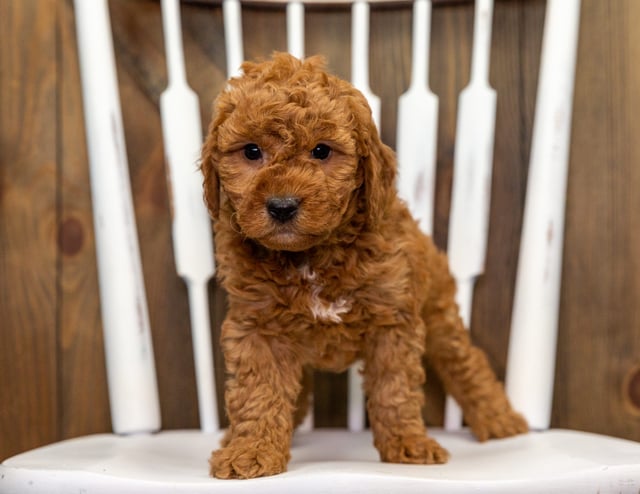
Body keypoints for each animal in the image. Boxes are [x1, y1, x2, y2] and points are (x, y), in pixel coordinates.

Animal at [200, 53, 524, 478]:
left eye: (322, 151)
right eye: (251, 152)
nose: (283, 206)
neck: (310, 257)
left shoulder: (392, 321)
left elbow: (394, 391)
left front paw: (408, 445)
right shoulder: (257, 328)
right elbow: (259, 393)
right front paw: (251, 451)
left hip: (438, 313)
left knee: (466, 363)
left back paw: (499, 419)